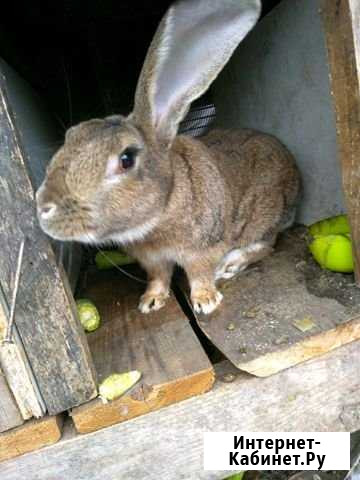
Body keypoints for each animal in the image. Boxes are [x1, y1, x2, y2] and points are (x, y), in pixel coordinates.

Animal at [35, 0, 300, 316]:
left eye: (126, 158)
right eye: (71, 135)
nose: (43, 207)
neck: (163, 209)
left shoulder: (202, 249)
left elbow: (199, 273)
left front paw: (205, 301)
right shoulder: (153, 261)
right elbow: (159, 277)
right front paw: (150, 301)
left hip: (264, 216)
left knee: (266, 245)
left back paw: (231, 264)